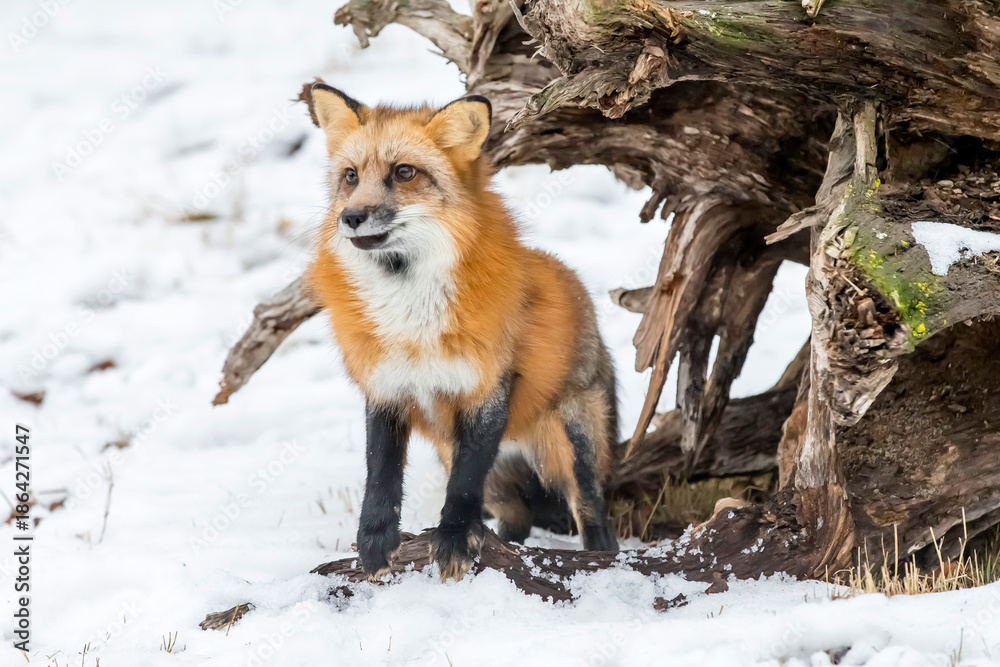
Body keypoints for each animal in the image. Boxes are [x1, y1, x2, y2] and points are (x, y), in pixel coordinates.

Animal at [307, 83, 619, 581]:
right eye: (351, 176)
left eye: (404, 172)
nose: (351, 217)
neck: (410, 316)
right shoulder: (386, 389)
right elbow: (381, 473)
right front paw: (375, 541)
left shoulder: (485, 388)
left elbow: (464, 483)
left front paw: (453, 537)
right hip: (467, 460)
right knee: (516, 518)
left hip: (572, 443)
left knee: (591, 511)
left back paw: (597, 558)